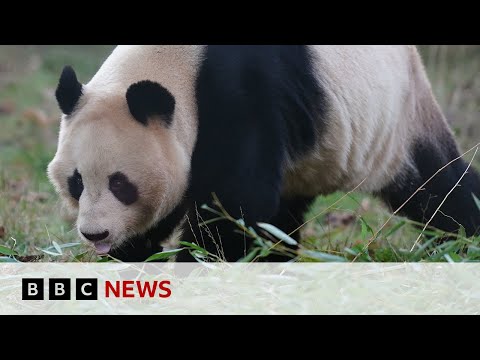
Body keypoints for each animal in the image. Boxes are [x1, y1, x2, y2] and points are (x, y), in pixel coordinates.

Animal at [47, 45, 480, 262]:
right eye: (77, 182)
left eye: (121, 184)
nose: (95, 233)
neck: (179, 65)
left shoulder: (242, 93)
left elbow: (235, 202)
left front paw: (202, 265)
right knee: (283, 214)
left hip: (395, 119)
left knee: (439, 190)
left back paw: (461, 244)